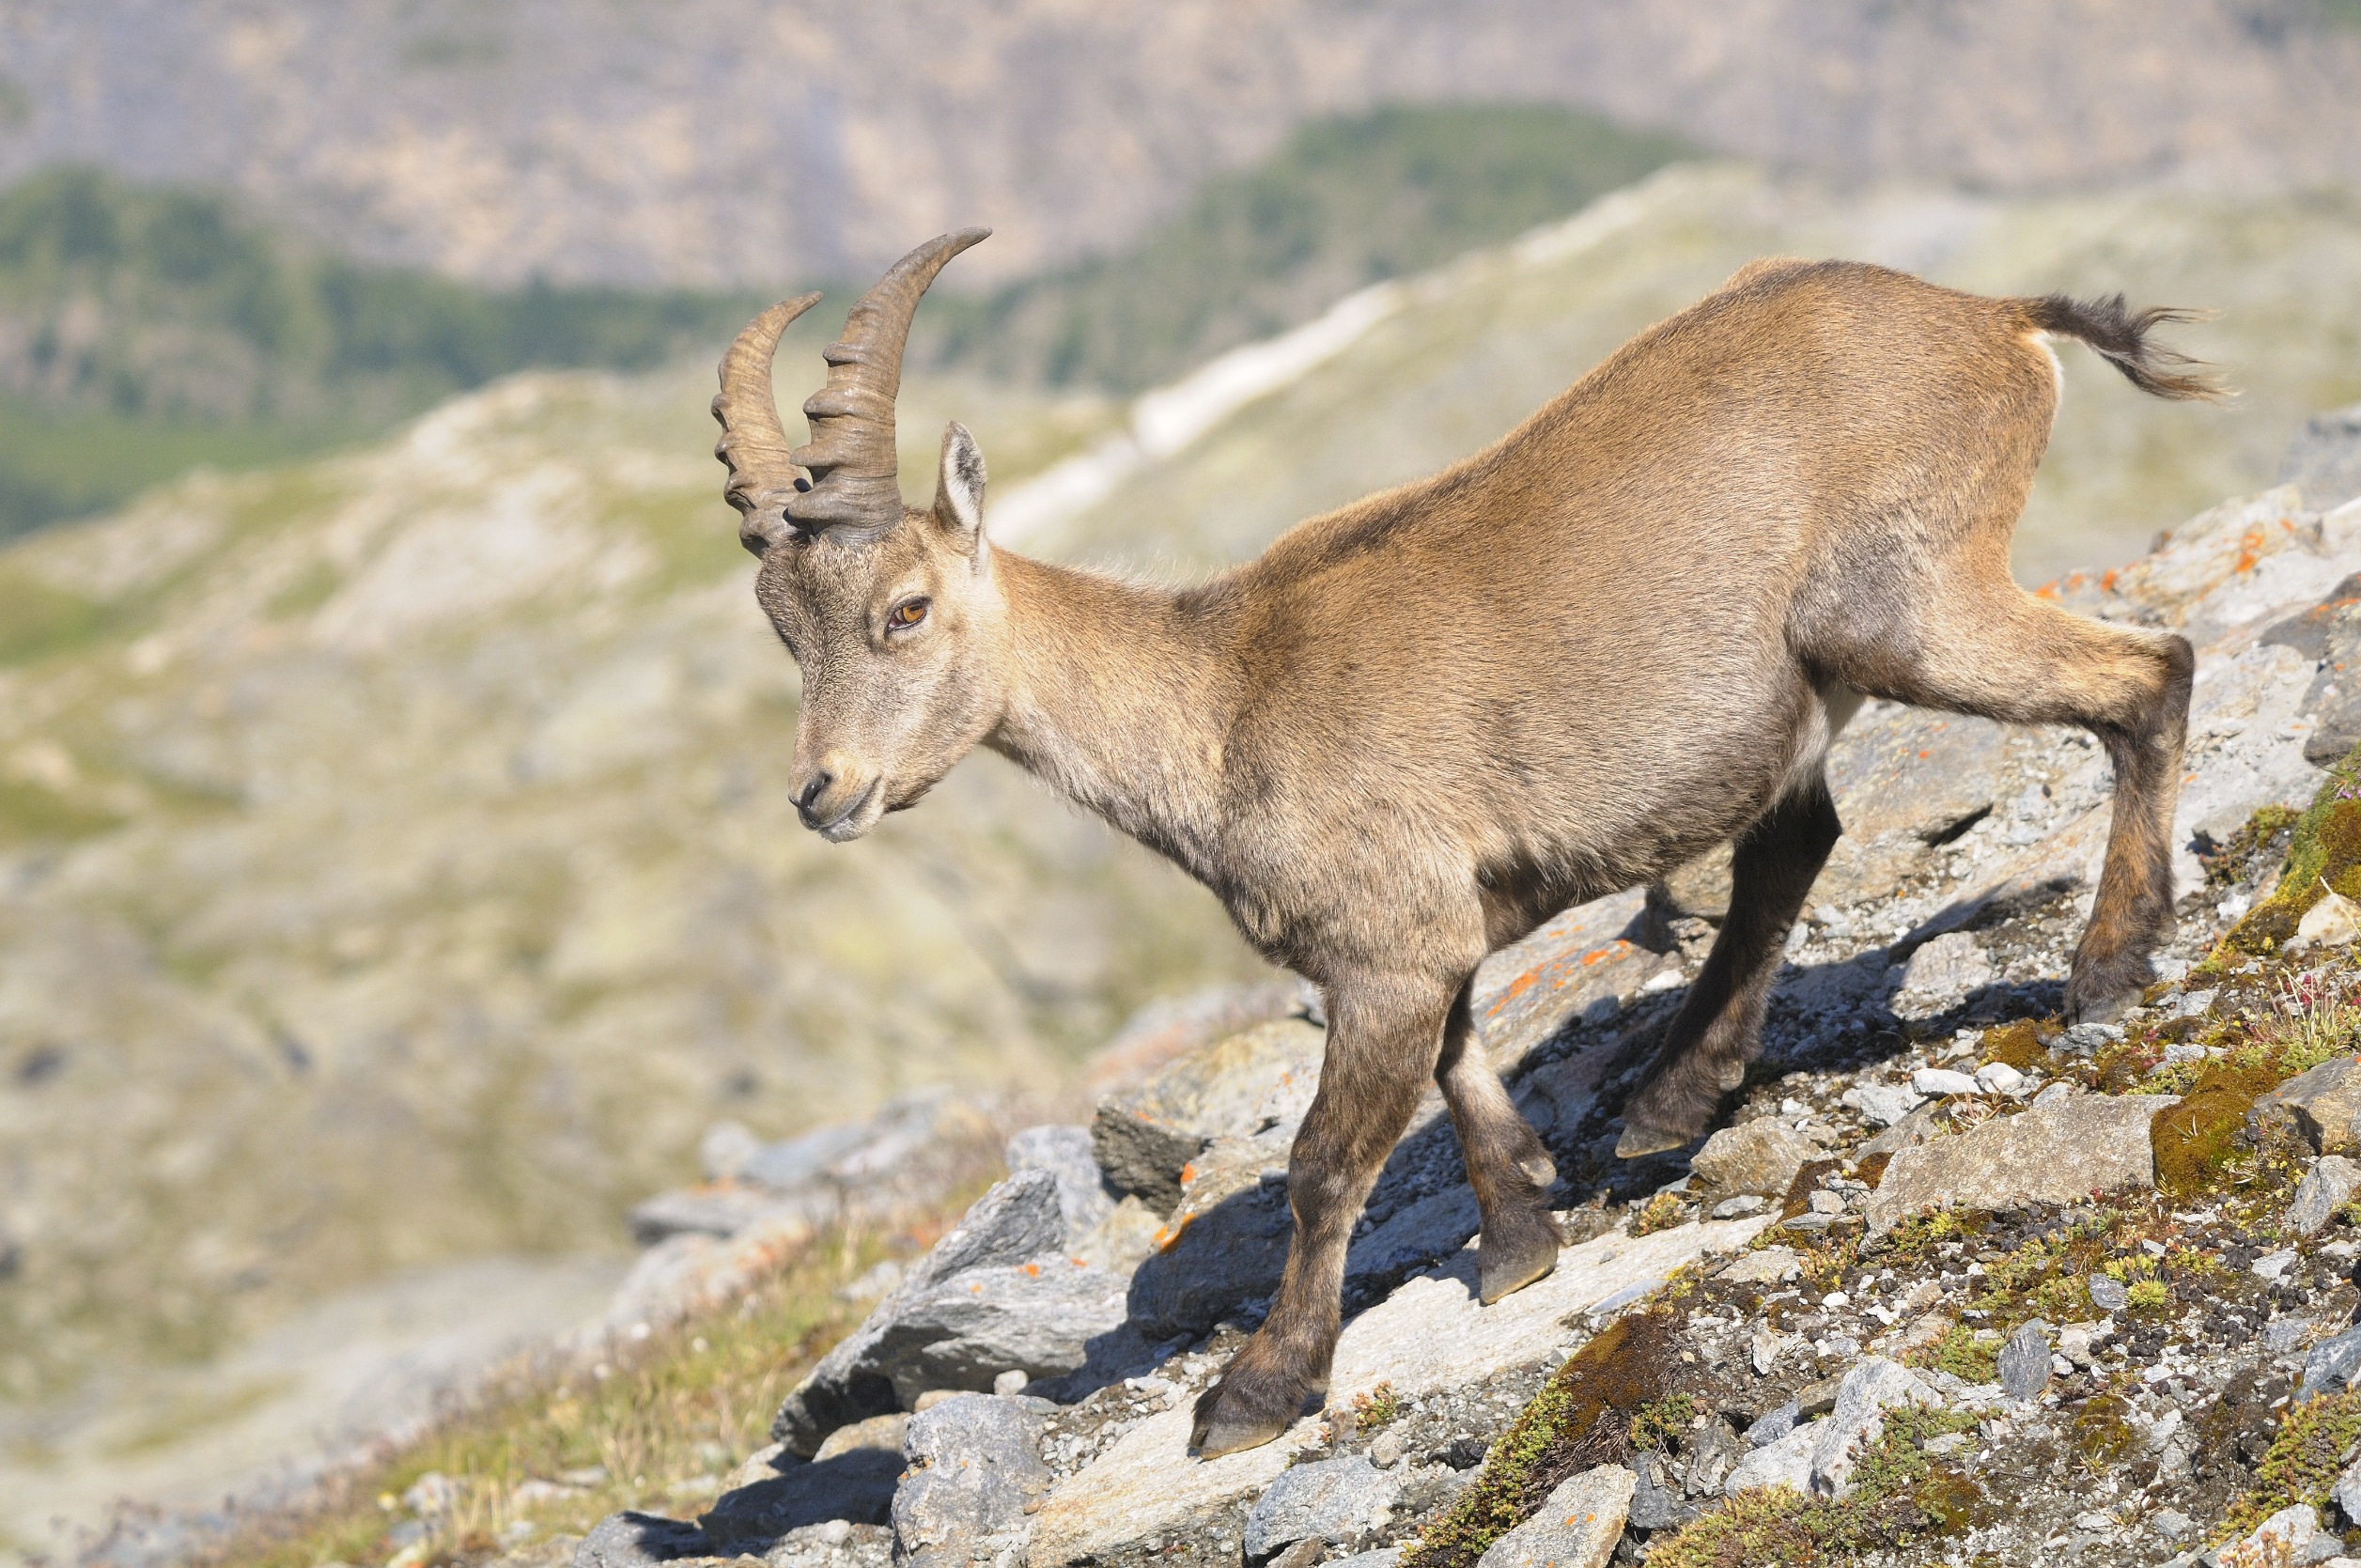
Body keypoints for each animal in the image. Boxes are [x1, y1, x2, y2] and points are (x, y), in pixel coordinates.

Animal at [707, 230, 2219, 1454]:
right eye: (782, 631)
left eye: (904, 609)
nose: (822, 790)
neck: (1221, 700)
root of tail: (1993, 318)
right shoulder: (1422, 937)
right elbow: (1460, 1068)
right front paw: (1521, 1239)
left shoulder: (1382, 945)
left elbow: (1325, 1163)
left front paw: (1257, 1391)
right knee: (1799, 836)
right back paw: (1674, 1098)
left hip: (1902, 607)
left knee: (2148, 674)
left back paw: (2106, 966)